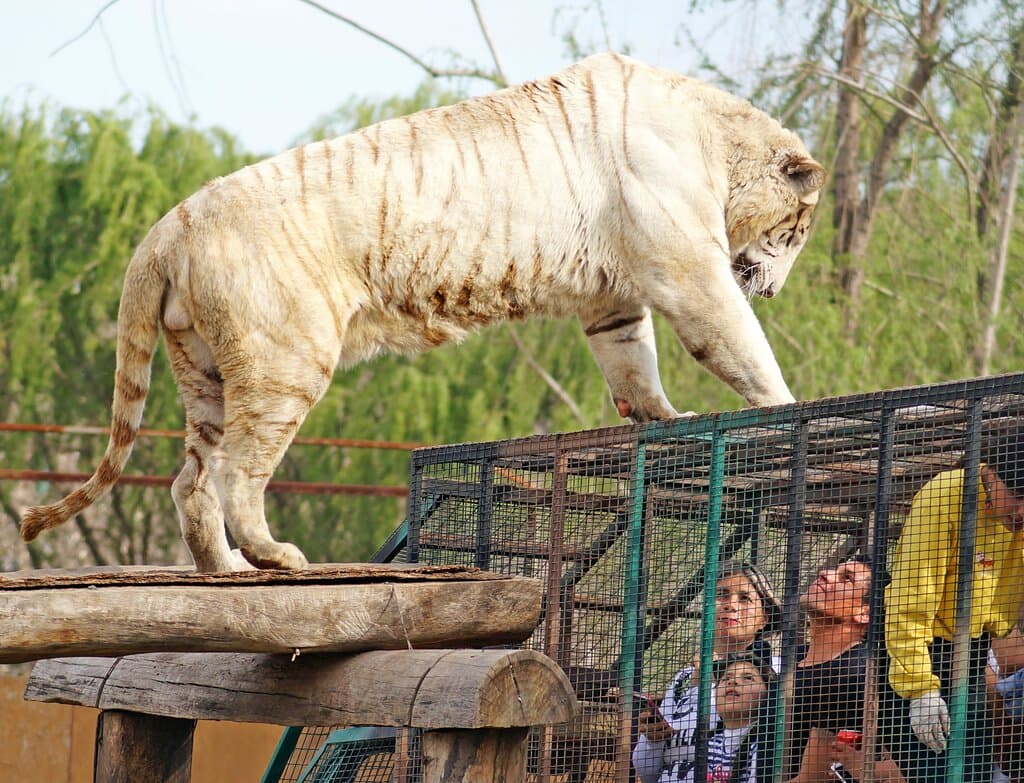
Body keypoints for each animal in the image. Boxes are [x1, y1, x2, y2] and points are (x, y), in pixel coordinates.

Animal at [20, 52, 825, 572]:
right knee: (235, 472)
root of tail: (167, 225)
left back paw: (226, 572)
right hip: (285, 363)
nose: (774, 289)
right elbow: (739, 344)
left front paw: (664, 418)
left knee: (189, 480)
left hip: (204, 370)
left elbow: (633, 363)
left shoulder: (614, 297)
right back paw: (275, 557)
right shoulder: (688, 269)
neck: (716, 141)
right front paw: (790, 409)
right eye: (797, 231)